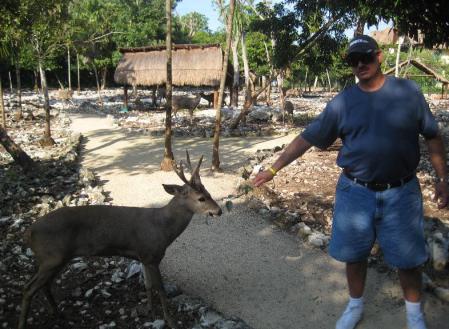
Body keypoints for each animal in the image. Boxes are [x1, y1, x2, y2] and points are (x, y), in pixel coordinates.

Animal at [18, 152, 222, 328]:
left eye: (209, 193)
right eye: (201, 198)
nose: (219, 211)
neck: (163, 229)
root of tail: (28, 233)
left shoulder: (143, 257)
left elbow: (148, 285)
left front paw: (149, 310)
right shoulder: (152, 255)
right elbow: (161, 290)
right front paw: (171, 322)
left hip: (56, 259)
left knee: (44, 285)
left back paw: (58, 313)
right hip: (51, 257)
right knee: (28, 288)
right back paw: (24, 323)